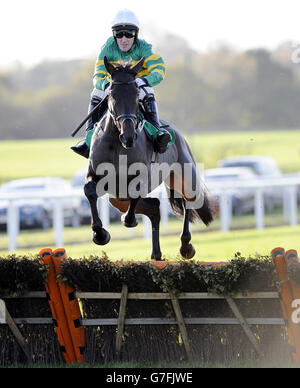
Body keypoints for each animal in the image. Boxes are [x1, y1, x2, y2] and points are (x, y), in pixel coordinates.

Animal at [83, 56, 214, 260]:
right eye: (112, 94)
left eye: (137, 95)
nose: (129, 136)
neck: (117, 143)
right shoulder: (98, 177)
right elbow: (89, 191)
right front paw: (100, 233)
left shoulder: (140, 178)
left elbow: (134, 196)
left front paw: (128, 221)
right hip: (117, 198)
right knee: (154, 207)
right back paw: (156, 254)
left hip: (185, 177)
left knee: (187, 202)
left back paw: (186, 246)